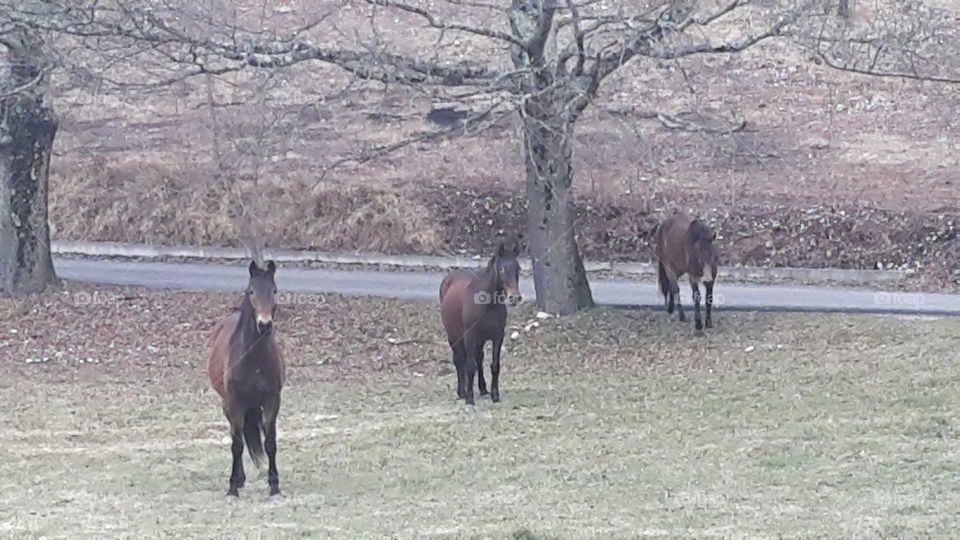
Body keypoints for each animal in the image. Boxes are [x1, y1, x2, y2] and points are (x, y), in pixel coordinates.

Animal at [207, 260, 286, 497]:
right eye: (252, 291)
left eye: (274, 291)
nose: (264, 324)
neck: (254, 359)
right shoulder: (234, 403)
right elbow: (237, 445)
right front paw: (233, 487)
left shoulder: (272, 401)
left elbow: (270, 443)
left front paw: (274, 486)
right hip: (228, 405)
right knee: (238, 436)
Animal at [439, 236, 522, 405]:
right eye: (501, 269)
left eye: (518, 269)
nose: (514, 298)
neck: (487, 303)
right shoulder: (470, 337)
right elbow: (470, 366)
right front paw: (469, 398)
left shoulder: (497, 337)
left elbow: (494, 365)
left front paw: (495, 395)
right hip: (454, 336)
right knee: (459, 360)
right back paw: (462, 392)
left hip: (480, 340)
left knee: (479, 358)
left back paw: (483, 389)